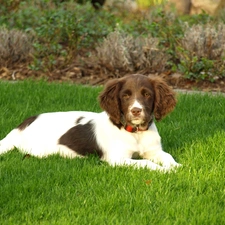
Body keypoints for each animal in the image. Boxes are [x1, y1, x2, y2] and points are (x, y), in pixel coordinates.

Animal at [0, 74, 180, 171]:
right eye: (125, 96)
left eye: (147, 94)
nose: (136, 111)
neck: (136, 133)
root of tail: (21, 126)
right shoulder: (117, 159)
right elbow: (145, 163)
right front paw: (163, 170)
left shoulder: (154, 150)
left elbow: (168, 157)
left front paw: (175, 167)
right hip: (40, 150)